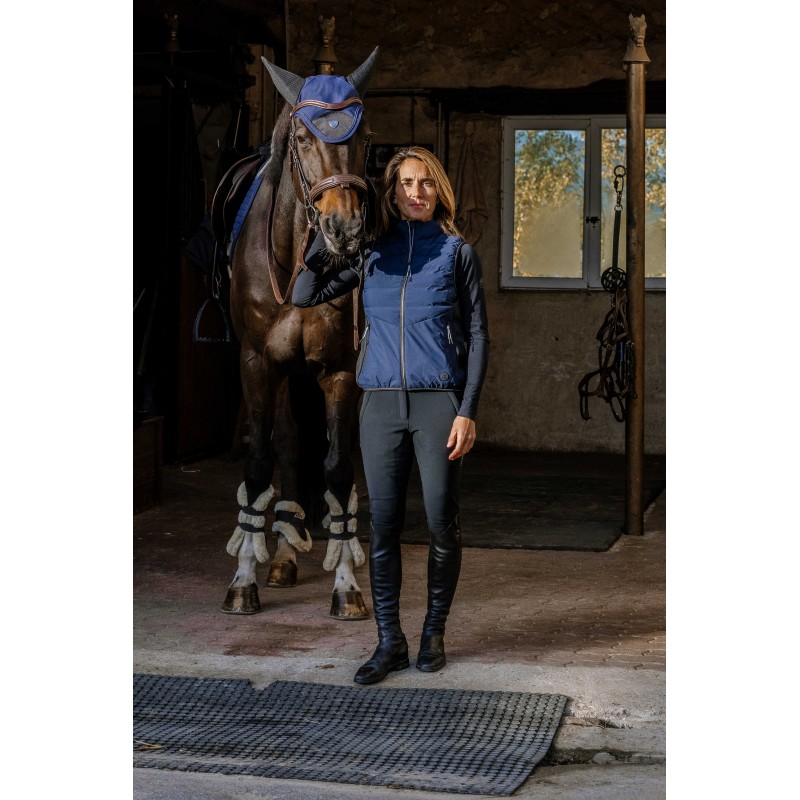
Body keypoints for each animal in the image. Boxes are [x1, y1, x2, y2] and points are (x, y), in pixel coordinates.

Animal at [217, 48, 379, 620]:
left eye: (365, 137)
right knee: (286, 445)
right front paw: (243, 579)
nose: (345, 229)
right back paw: (280, 556)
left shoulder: (339, 371)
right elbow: (260, 461)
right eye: (304, 139)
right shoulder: (256, 363)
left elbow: (336, 467)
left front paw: (347, 587)